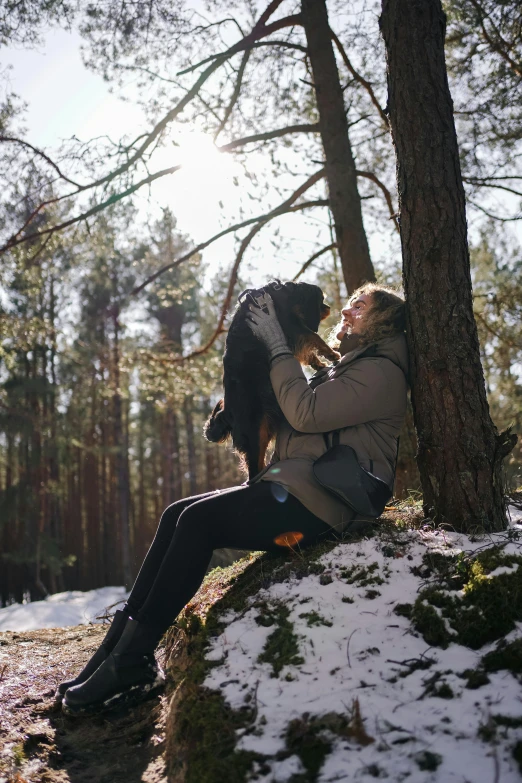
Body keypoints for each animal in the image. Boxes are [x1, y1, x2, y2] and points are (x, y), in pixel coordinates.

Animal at [203, 278, 338, 480]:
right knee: (253, 470)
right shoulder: (291, 325)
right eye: (321, 300)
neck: (281, 293)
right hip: (255, 432)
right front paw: (332, 354)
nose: (328, 307)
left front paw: (320, 364)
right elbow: (314, 337)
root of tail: (227, 414)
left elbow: (308, 352)